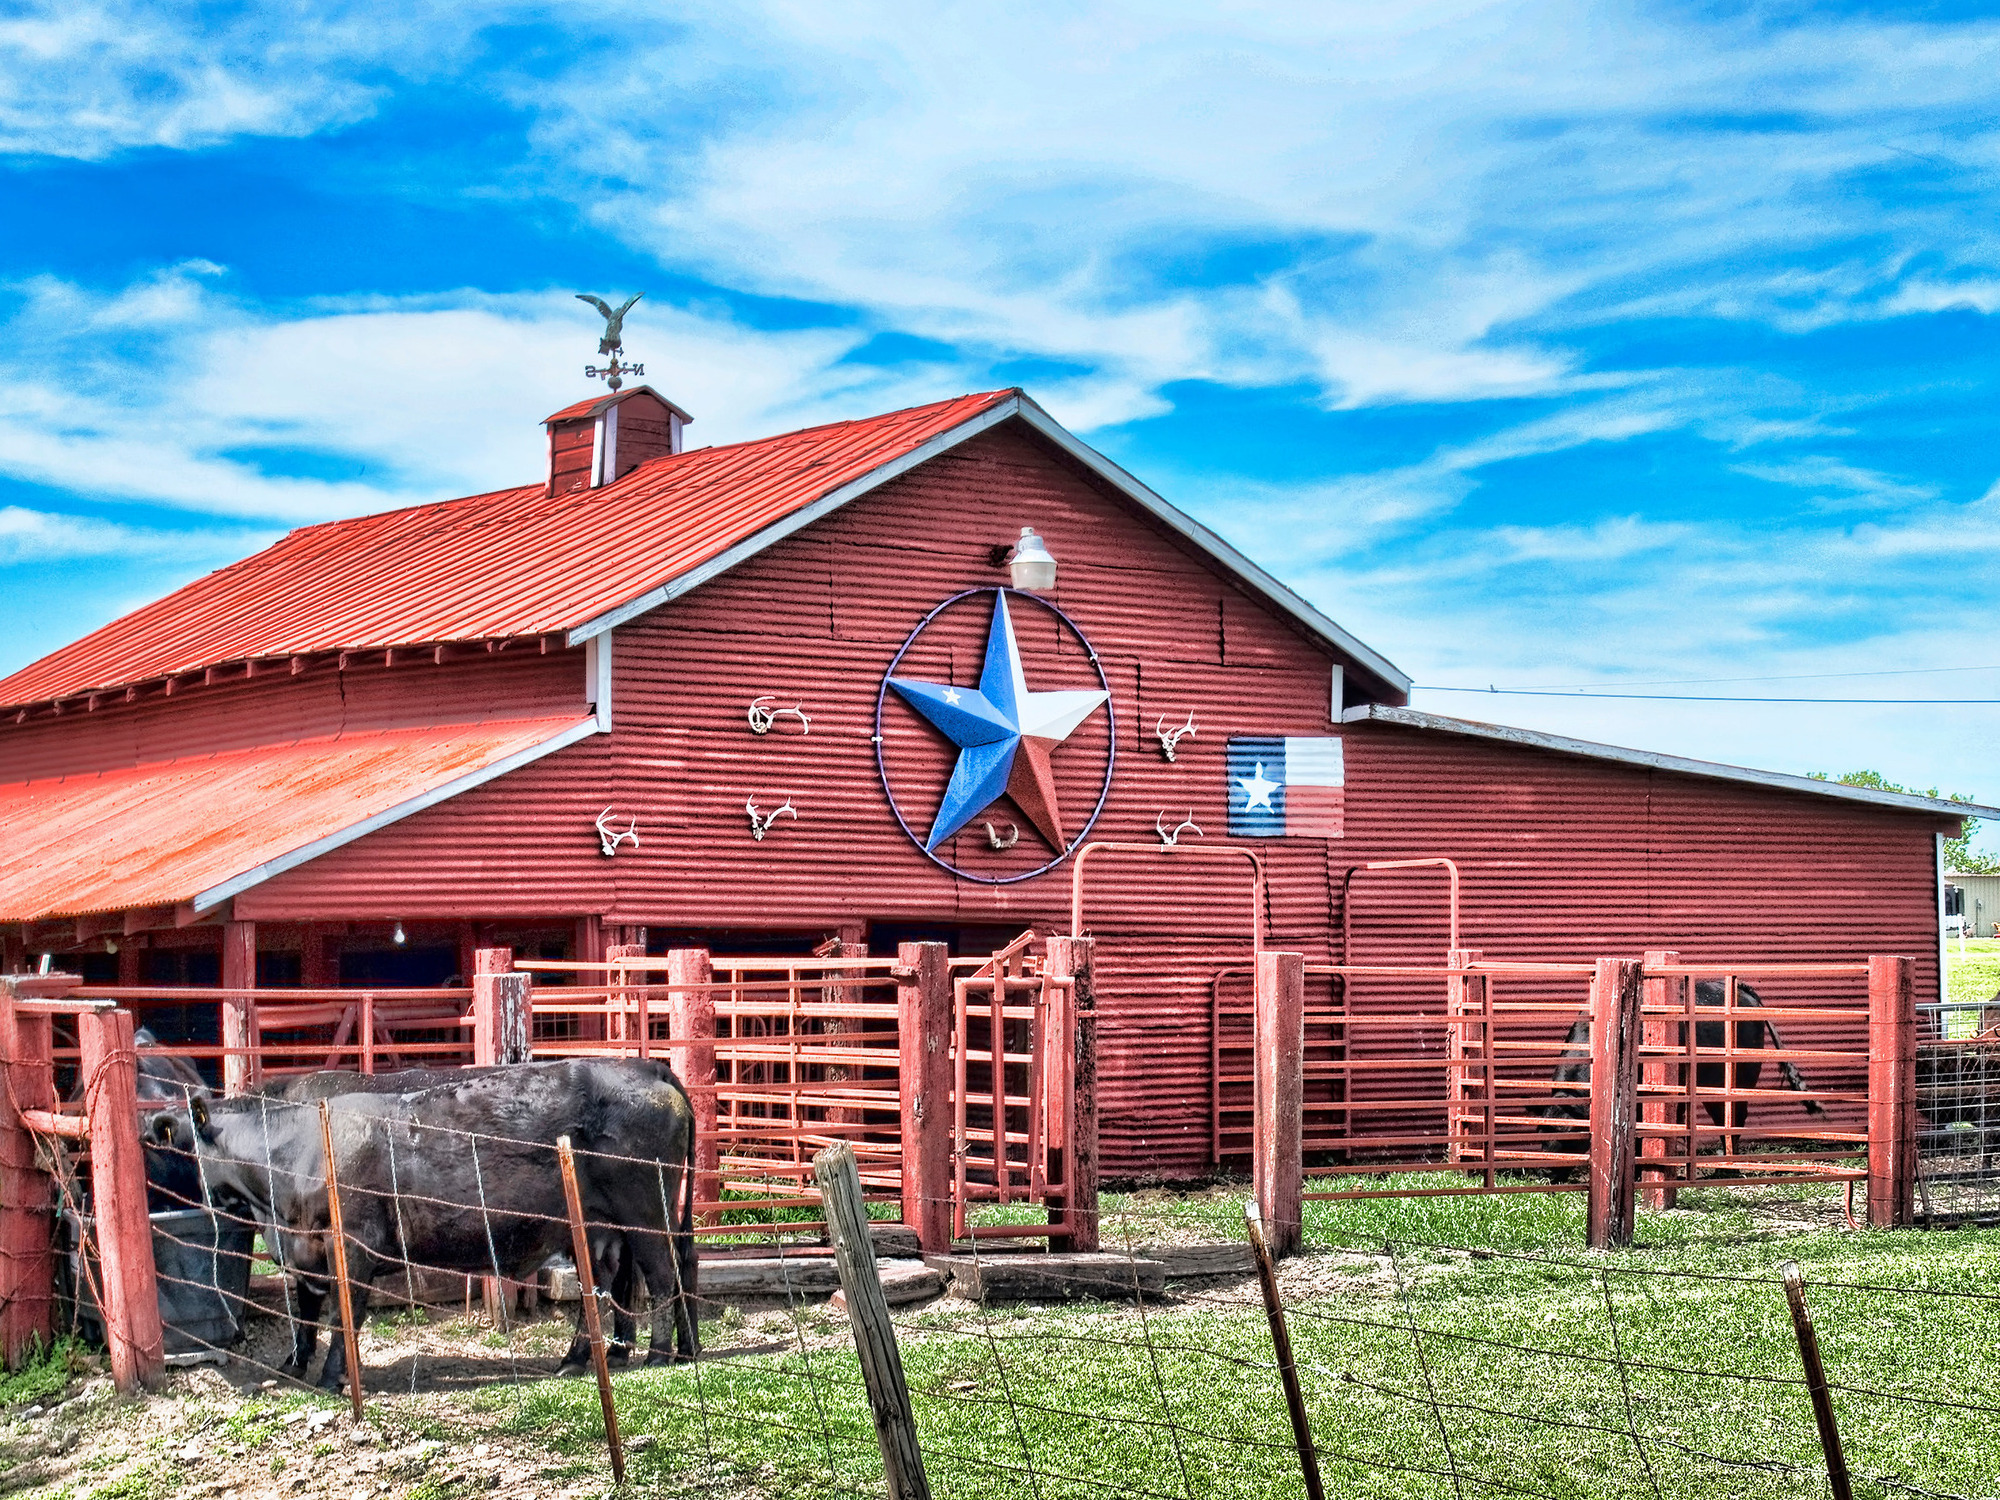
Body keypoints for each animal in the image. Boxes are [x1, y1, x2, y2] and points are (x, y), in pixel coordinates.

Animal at [150, 1056, 696, 1400]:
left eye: (187, 1149)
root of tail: (649, 1069)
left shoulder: (354, 1244)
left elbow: (342, 1316)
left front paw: (332, 1378)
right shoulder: (306, 1249)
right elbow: (304, 1307)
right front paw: (297, 1365)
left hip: (647, 1214)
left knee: (662, 1276)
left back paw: (658, 1355)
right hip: (608, 1223)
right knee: (617, 1280)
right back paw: (599, 1356)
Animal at [1528, 980, 1832, 1184]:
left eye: (1570, 1135)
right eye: (1542, 1131)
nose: (1545, 1171)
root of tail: (1743, 991)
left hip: (1737, 1083)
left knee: (1733, 1122)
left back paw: (1727, 1169)